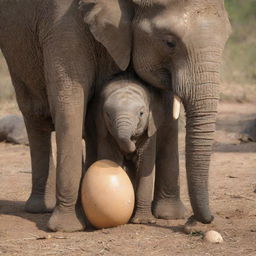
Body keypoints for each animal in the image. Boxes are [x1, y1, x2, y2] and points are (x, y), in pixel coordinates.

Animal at [85, 74, 167, 224]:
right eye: (108, 114)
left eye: (141, 113)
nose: (132, 146)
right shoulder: (103, 131)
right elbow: (111, 159)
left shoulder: (150, 130)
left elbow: (145, 165)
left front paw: (144, 221)